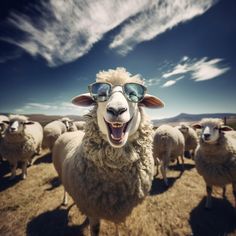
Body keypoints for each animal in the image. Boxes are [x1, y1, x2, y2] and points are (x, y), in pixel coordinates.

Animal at [52, 67, 164, 236]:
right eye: (100, 95)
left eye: (134, 95)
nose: (116, 110)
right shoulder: (93, 211)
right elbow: (95, 229)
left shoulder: (118, 210)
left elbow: (117, 225)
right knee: (65, 187)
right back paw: (65, 200)